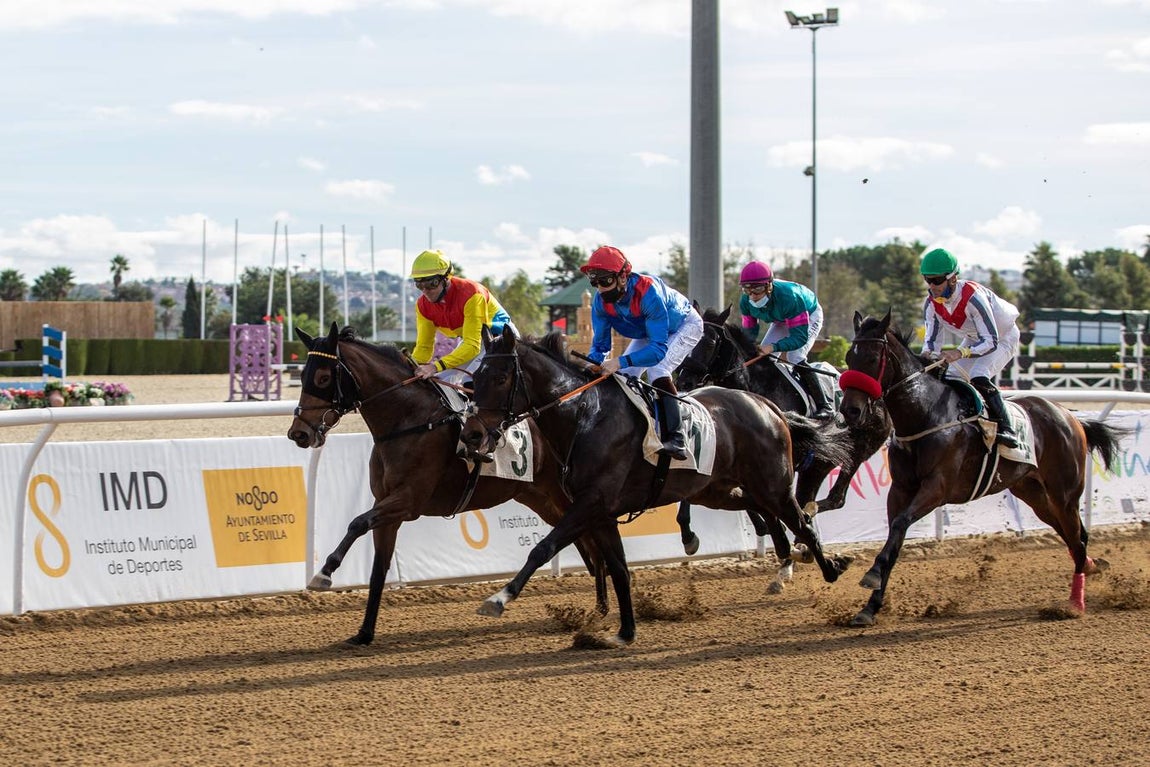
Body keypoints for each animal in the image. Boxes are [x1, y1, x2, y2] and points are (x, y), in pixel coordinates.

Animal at [286, 323, 608, 645]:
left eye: (323, 378)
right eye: (302, 377)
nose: (298, 433)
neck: (407, 421)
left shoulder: (408, 501)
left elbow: (357, 523)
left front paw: (324, 573)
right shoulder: (386, 505)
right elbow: (378, 568)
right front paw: (364, 633)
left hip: (566, 494)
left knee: (593, 539)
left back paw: (600, 611)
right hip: (539, 497)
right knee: (585, 541)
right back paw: (597, 610)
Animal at [461, 326, 852, 646]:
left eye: (499, 377)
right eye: (474, 378)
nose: (471, 434)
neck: (585, 416)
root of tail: (767, 405)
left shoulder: (591, 503)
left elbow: (543, 548)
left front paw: (499, 598)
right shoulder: (600, 513)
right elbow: (618, 568)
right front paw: (625, 632)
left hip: (773, 483)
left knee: (801, 519)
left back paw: (830, 567)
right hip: (717, 490)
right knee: (762, 509)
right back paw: (785, 554)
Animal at [674, 305, 892, 591]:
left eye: (709, 341)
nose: (684, 382)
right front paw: (689, 536)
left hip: (850, 455)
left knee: (832, 499)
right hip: (816, 466)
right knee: (807, 502)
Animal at [838, 310, 1125, 626]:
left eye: (872, 359)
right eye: (849, 358)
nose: (850, 411)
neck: (926, 415)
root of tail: (1070, 417)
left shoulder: (937, 488)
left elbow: (901, 524)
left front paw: (872, 574)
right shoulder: (901, 489)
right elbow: (895, 537)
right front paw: (869, 608)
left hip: (1065, 493)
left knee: (1077, 536)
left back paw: (1075, 603)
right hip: (1033, 493)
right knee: (1070, 535)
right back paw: (1092, 567)